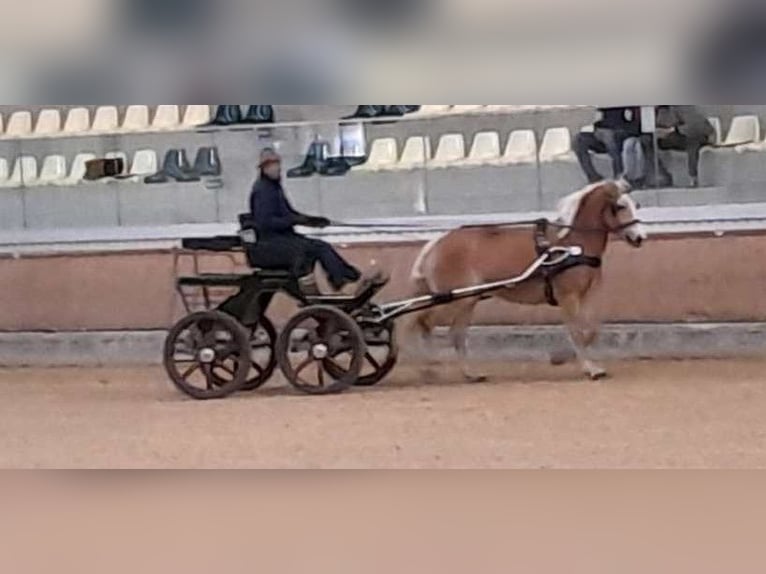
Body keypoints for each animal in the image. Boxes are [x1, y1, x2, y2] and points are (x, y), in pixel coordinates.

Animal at [408, 179, 648, 382]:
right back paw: (427, 369)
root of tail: (437, 243)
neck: (573, 244)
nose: (640, 238)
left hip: (468, 301)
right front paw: (588, 368)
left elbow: (591, 330)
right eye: (620, 207)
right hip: (456, 299)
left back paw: (471, 374)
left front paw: (562, 357)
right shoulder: (568, 297)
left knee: (454, 334)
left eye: (636, 204)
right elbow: (577, 331)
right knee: (424, 322)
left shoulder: (586, 295)